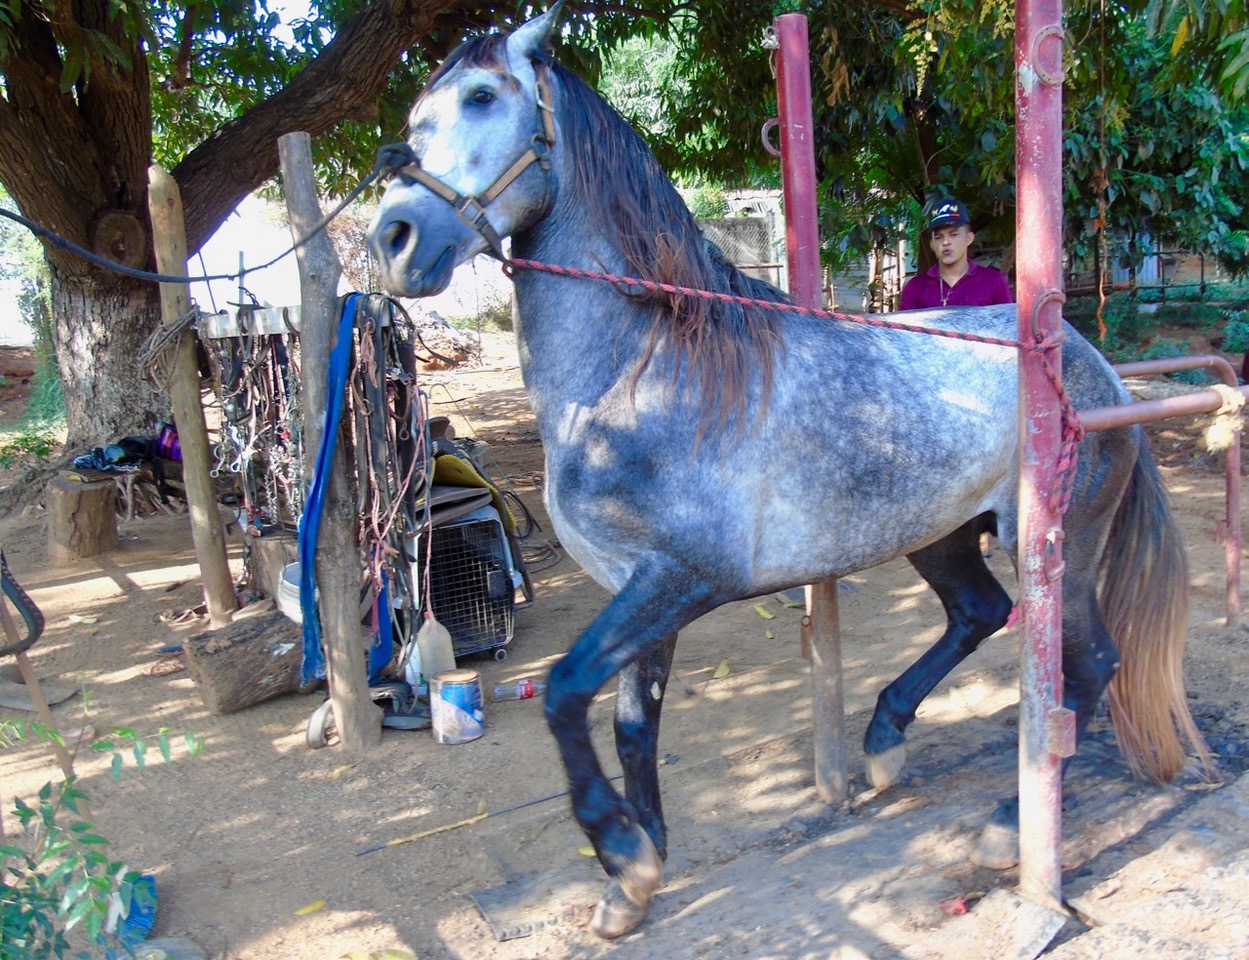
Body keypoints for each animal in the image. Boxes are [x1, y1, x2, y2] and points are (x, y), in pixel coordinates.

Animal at [368, 4, 1208, 938]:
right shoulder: (637, 590)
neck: (641, 371)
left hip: (1052, 543)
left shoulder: (682, 578)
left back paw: (1002, 831)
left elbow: (561, 692)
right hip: (940, 535)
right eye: (414, 120)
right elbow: (631, 726)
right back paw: (882, 744)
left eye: (483, 96)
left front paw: (621, 853)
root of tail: (1085, 365)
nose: (394, 240)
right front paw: (638, 877)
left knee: (1086, 665)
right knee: (979, 613)